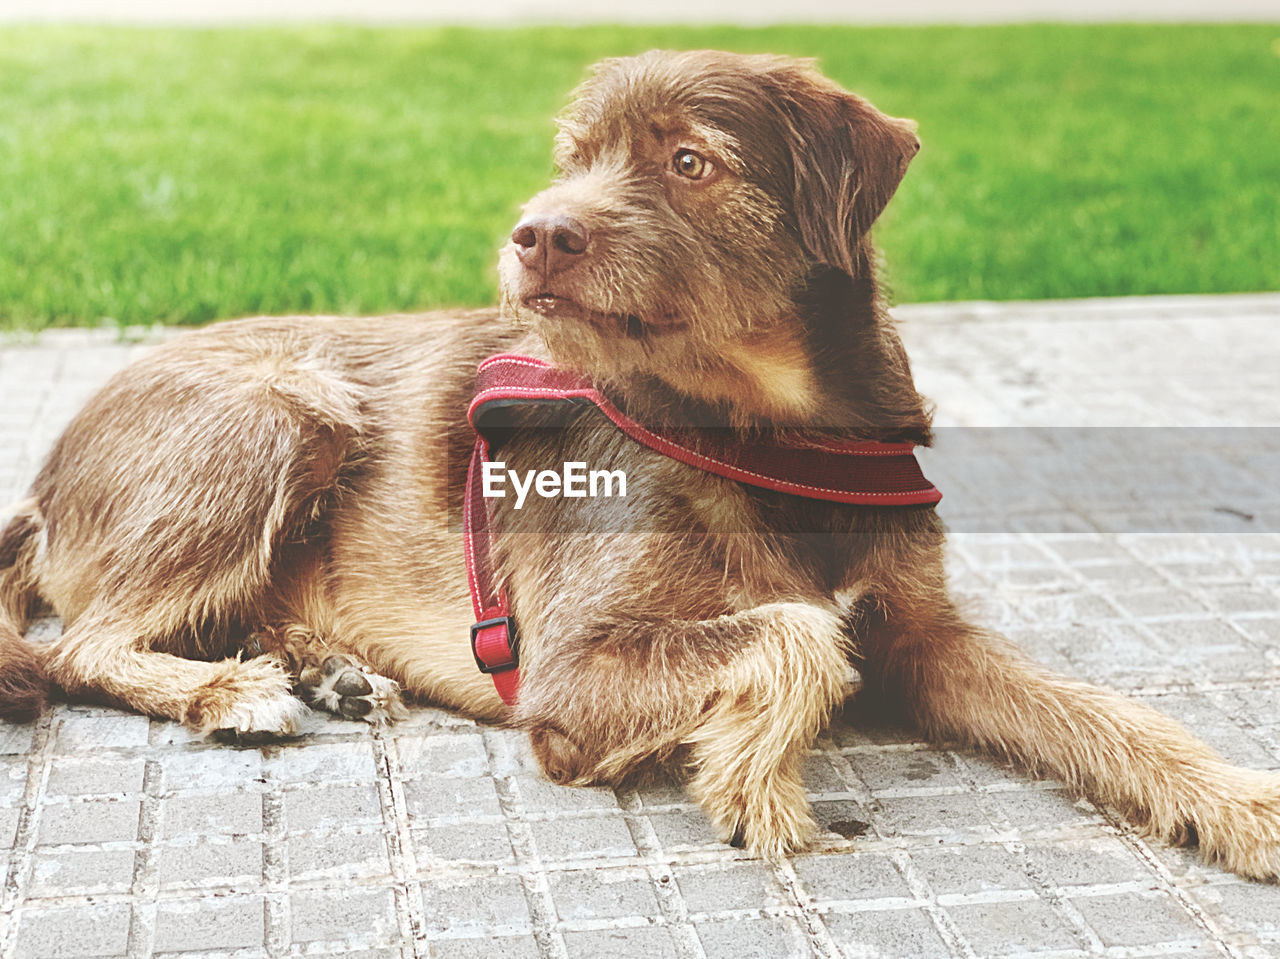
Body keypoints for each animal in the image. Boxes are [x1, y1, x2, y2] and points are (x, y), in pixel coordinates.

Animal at [2, 50, 1280, 875]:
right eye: (572, 158)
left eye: (689, 161)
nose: (533, 231)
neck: (769, 432)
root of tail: (45, 486)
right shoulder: (570, 676)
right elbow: (796, 636)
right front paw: (757, 780)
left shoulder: (923, 635)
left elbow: (1104, 713)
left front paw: (1238, 802)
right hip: (284, 408)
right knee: (82, 648)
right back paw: (229, 690)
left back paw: (325, 667)